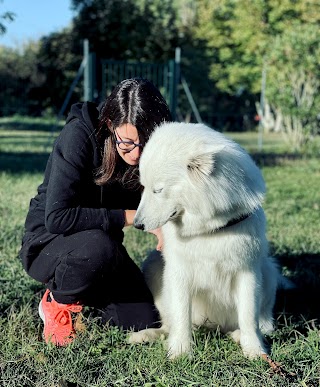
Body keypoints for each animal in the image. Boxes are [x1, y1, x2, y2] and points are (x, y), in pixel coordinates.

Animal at [129, 123, 278, 360]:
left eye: (158, 190)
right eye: (143, 186)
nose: (137, 224)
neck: (210, 228)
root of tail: (214, 326)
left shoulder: (247, 271)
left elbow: (248, 316)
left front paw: (255, 351)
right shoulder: (179, 272)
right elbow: (181, 315)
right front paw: (180, 353)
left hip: (270, 272)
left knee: (262, 323)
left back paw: (238, 335)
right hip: (153, 265)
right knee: (170, 324)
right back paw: (146, 335)